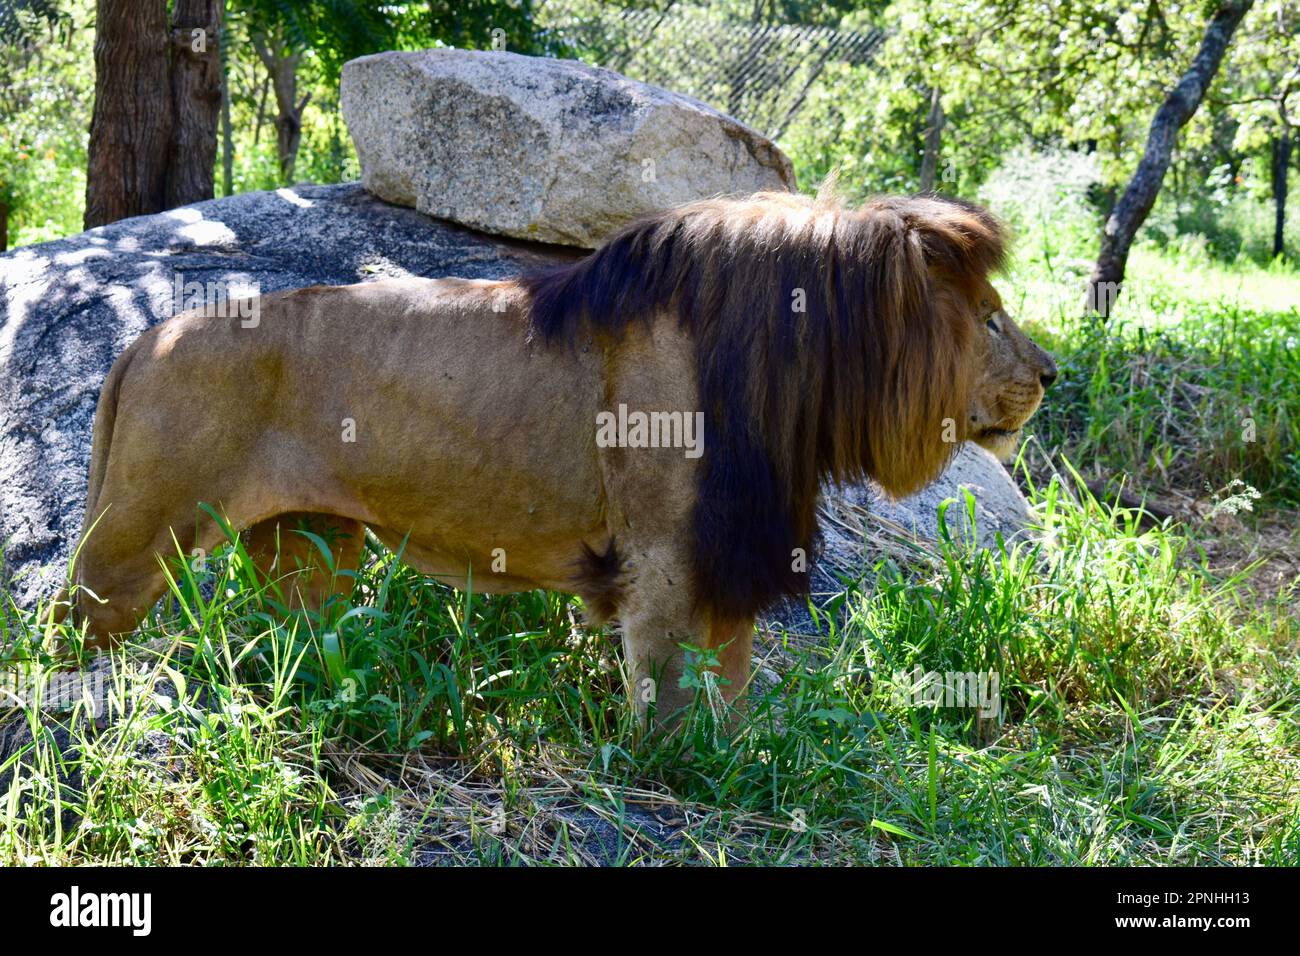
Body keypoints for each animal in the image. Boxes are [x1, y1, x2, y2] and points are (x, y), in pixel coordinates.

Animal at [53, 187, 1055, 723]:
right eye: (989, 317)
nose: (1048, 374)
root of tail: (143, 338)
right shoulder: (668, 557)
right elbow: (669, 692)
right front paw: (674, 772)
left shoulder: (726, 549)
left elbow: (730, 686)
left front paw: (740, 761)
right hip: (135, 537)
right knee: (64, 627)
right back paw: (66, 709)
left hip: (309, 547)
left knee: (298, 641)